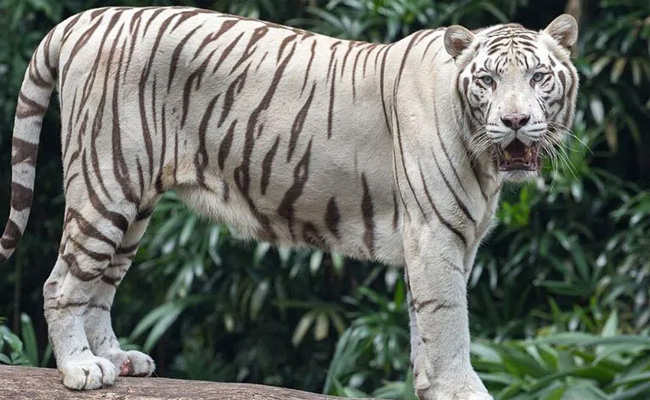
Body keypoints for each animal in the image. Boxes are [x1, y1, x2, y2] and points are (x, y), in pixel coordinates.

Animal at [0, 6, 578, 399]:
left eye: (538, 77)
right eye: (487, 80)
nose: (516, 121)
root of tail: (85, 18)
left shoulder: (439, 240)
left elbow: (424, 323)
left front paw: (427, 384)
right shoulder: (437, 234)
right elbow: (448, 319)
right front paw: (460, 389)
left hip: (133, 205)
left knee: (100, 288)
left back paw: (118, 359)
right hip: (107, 184)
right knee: (62, 283)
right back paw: (81, 369)